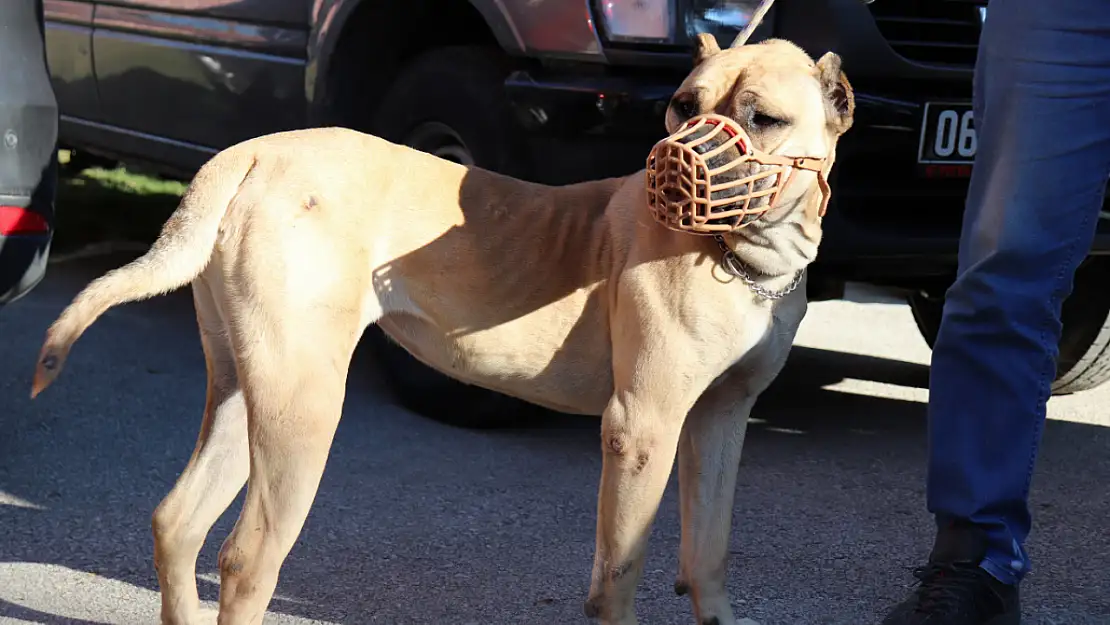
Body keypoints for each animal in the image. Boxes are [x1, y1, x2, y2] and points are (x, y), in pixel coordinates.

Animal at [30, 35, 852, 625]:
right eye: (683, 105)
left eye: (764, 118)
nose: (671, 164)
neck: (743, 258)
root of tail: (252, 151)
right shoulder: (642, 427)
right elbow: (619, 574)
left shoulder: (720, 420)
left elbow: (708, 551)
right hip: (302, 411)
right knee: (246, 558)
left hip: (245, 391)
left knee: (178, 522)